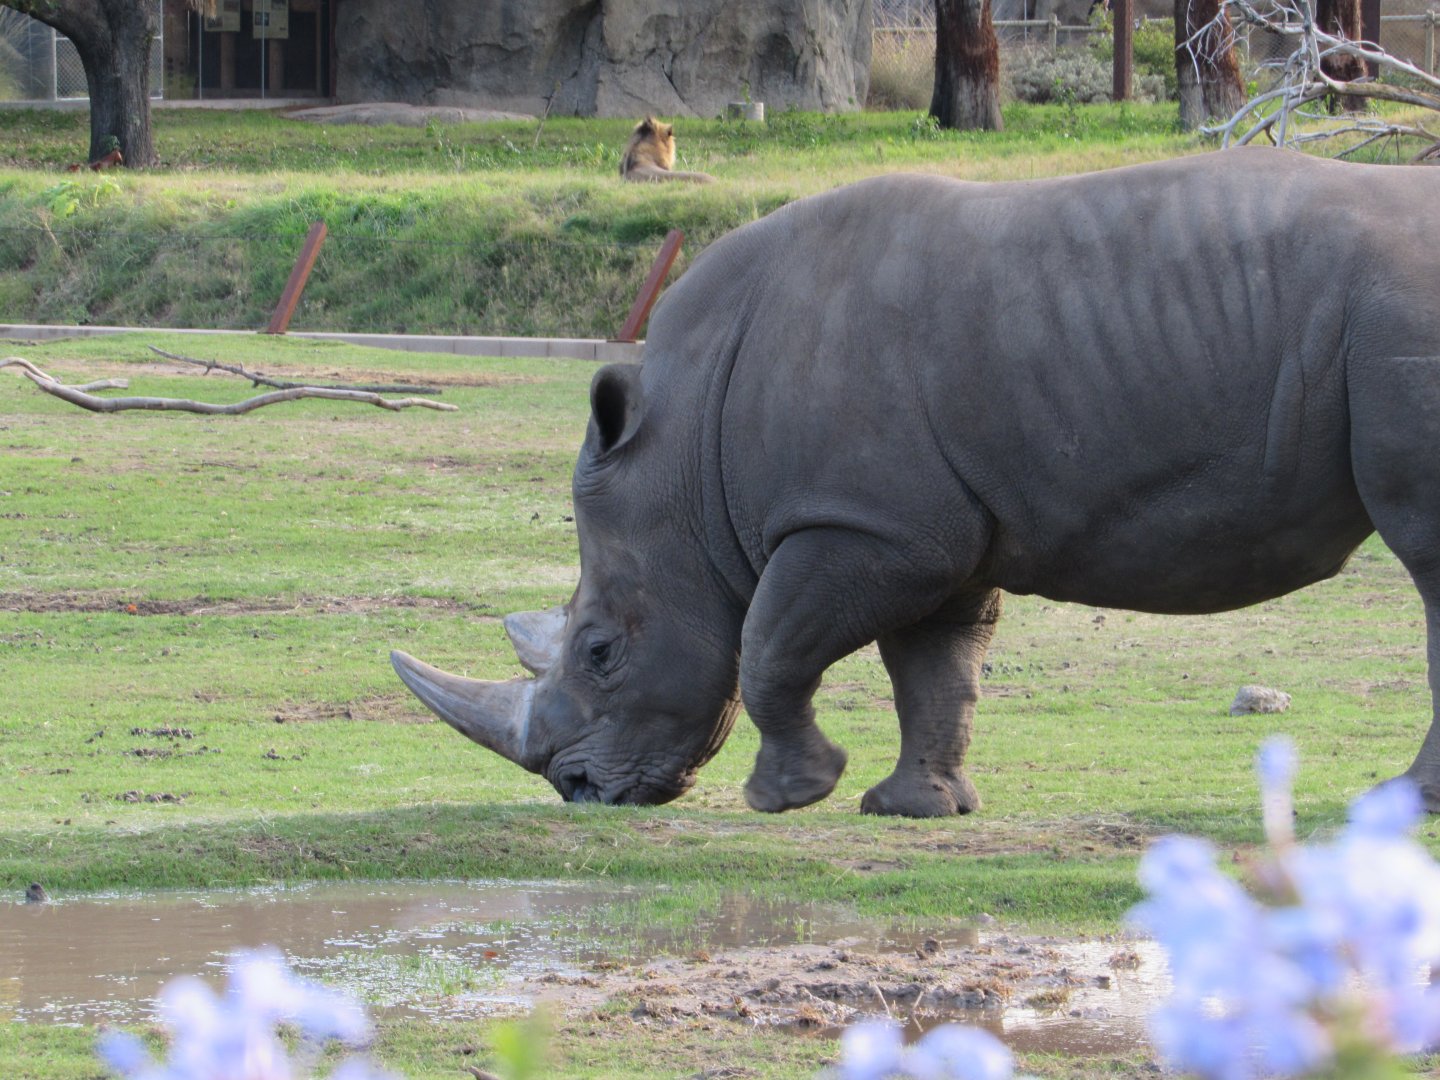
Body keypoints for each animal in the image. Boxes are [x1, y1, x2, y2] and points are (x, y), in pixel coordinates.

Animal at [392, 147, 1440, 818]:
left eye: (601, 650)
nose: (580, 791)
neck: (683, 459)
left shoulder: (864, 527)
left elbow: (769, 643)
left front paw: (787, 796)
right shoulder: (929, 532)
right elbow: (936, 672)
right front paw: (915, 809)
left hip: (1399, 318)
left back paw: (1405, 803)